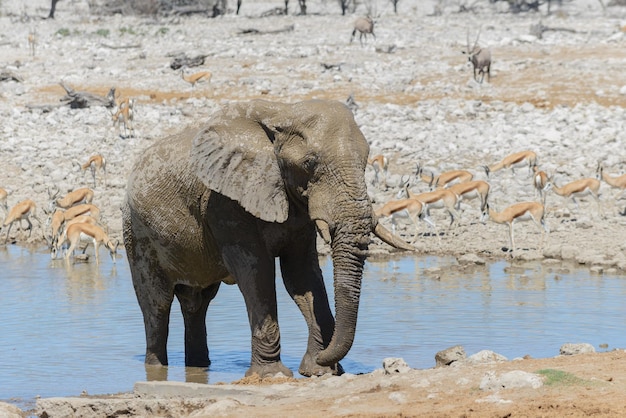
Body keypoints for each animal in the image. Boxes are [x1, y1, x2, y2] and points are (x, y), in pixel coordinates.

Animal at [123, 99, 414, 378]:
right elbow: (255, 271)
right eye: (309, 163)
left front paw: (318, 371)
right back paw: (156, 369)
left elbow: (301, 275)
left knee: (197, 303)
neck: (283, 112)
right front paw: (273, 375)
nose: (329, 360)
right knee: (157, 305)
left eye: (365, 161)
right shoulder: (224, 201)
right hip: (137, 234)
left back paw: (198, 367)